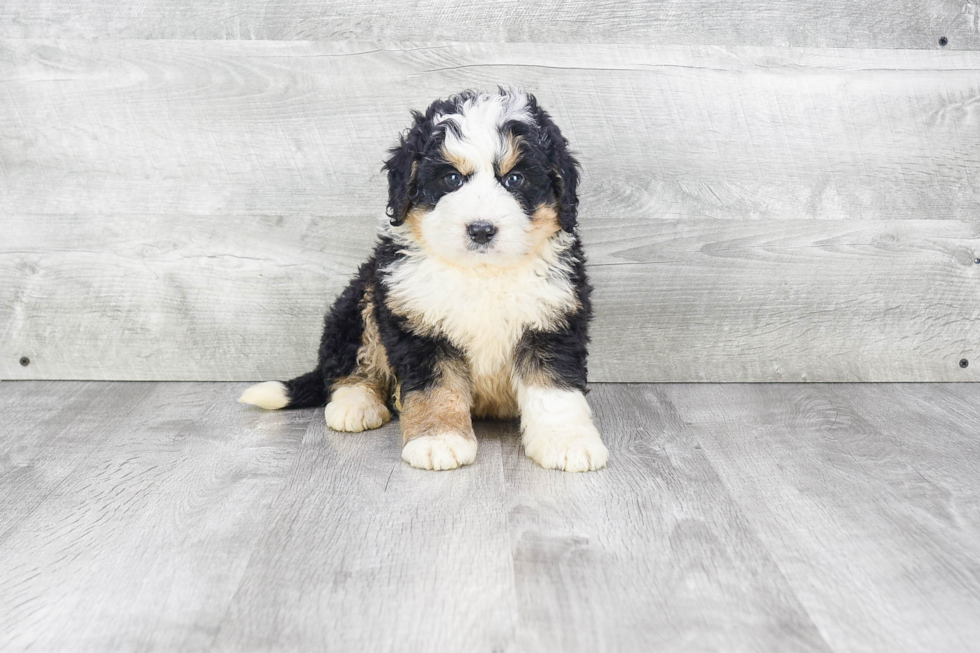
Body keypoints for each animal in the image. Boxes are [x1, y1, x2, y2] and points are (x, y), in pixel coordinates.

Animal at [239, 89, 604, 472]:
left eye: (515, 179)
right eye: (452, 179)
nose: (481, 229)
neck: (481, 272)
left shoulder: (552, 319)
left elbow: (554, 388)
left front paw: (567, 441)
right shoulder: (418, 324)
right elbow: (435, 387)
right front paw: (438, 440)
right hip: (361, 300)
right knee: (348, 364)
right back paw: (355, 404)